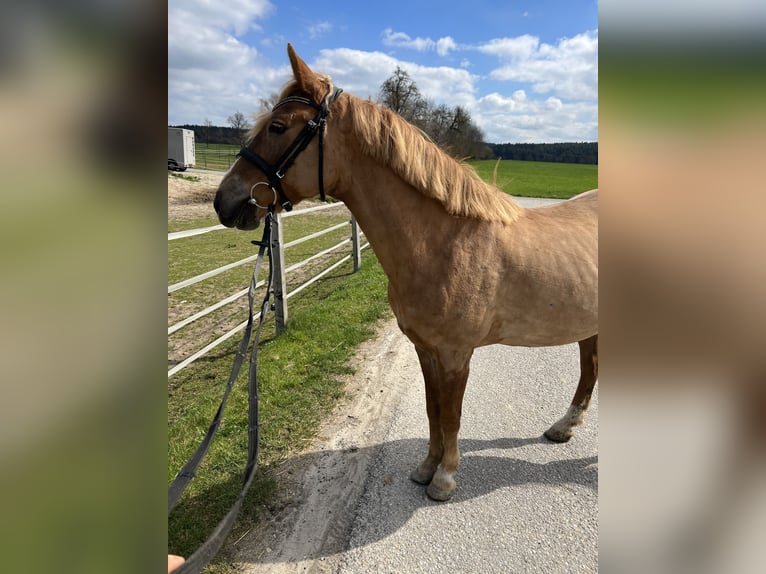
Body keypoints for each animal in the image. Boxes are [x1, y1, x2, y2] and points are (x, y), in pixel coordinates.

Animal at [214, 44, 598, 501]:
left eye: (277, 127)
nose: (224, 201)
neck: (443, 243)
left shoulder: (455, 355)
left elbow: (451, 416)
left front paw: (445, 479)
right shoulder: (425, 350)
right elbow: (434, 412)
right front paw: (427, 467)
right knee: (590, 367)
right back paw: (564, 427)